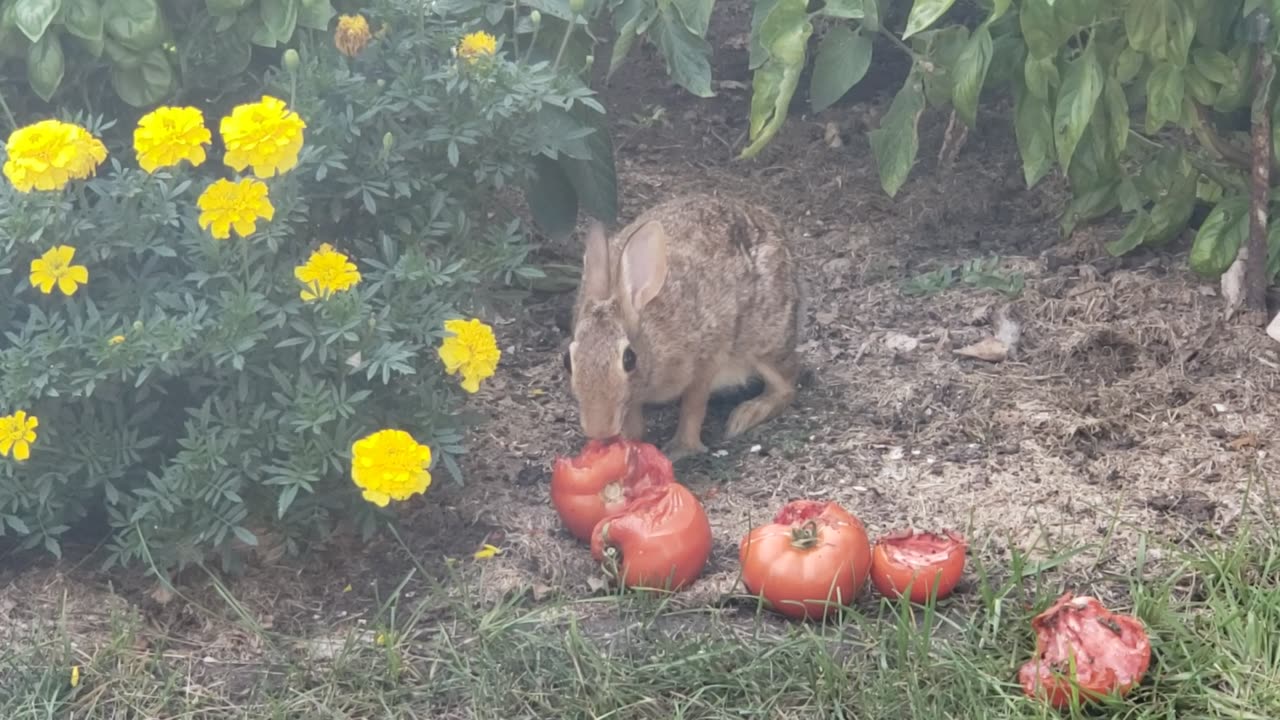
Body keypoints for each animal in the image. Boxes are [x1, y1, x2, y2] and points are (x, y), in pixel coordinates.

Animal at [565, 192, 803, 458]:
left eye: (629, 359)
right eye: (567, 361)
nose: (599, 429)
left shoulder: (706, 361)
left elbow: (693, 407)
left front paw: (680, 449)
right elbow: (633, 419)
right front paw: (629, 445)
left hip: (765, 341)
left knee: (786, 385)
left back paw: (746, 414)